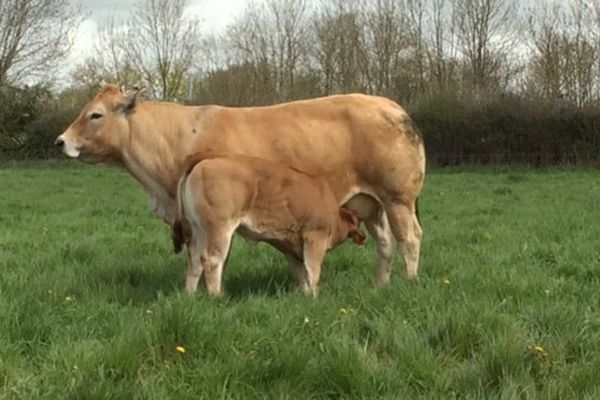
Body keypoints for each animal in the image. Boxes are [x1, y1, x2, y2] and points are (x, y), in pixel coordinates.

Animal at [170, 153, 366, 296]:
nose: (362, 236)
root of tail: (206, 160)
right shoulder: (314, 237)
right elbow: (313, 271)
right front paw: (314, 296)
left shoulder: (292, 248)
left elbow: (302, 272)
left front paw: (305, 295)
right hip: (219, 229)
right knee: (211, 261)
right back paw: (216, 297)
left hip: (198, 230)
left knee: (194, 260)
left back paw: (190, 295)